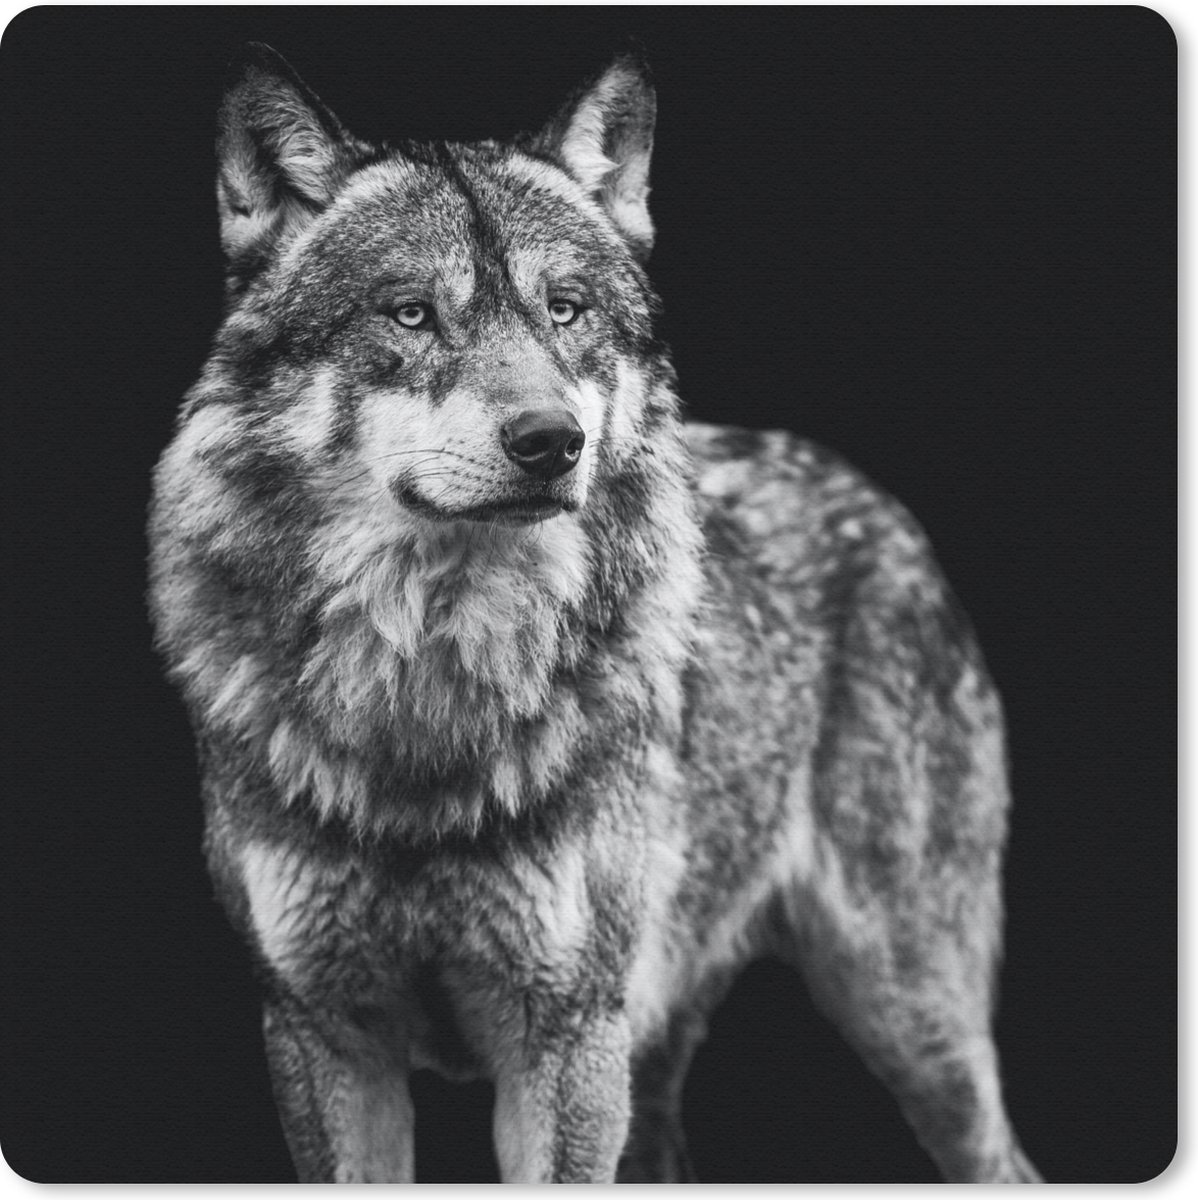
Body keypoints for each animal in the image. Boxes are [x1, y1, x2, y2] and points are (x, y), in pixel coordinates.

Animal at [147, 44, 1041, 1183]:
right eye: (410, 313)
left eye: (564, 310)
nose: (550, 442)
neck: (433, 689)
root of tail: (874, 500)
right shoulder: (321, 1037)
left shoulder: (564, 1037)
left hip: (906, 1014)